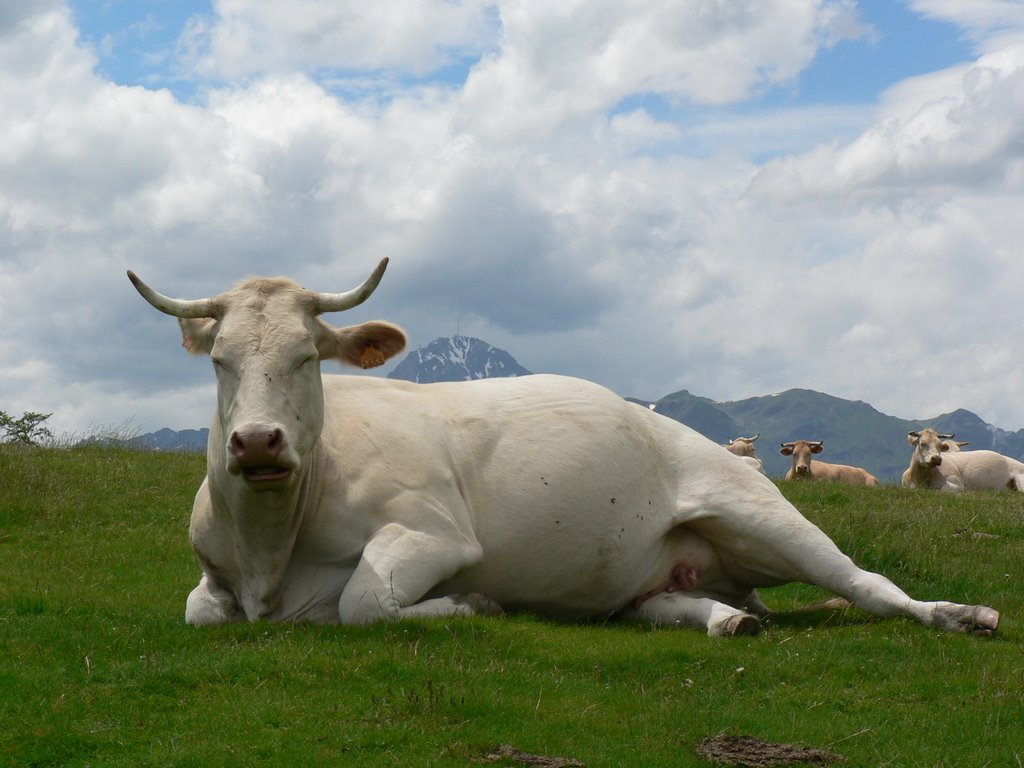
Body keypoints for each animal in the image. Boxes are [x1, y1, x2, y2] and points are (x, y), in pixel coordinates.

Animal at [128, 262, 999, 638]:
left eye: (309, 356)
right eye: (220, 361)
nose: (256, 441)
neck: (269, 557)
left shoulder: (435, 532)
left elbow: (362, 602)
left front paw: (473, 604)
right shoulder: (213, 581)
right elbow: (198, 611)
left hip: (760, 513)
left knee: (868, 584)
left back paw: (962, 614)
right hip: (655, 579)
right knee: (674, 607)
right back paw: (726, 621)